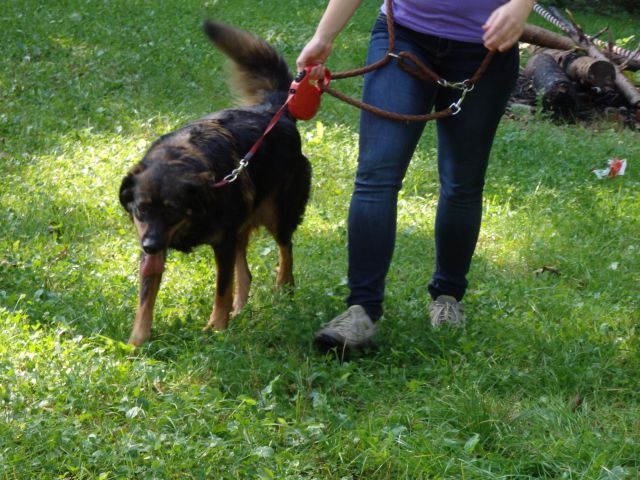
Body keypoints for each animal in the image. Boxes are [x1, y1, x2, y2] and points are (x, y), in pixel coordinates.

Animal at [119, 19, 312, 344]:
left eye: (173, 210)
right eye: (141, 209)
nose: (151, 245)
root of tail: (272, 110)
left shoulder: (222, 242)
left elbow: (222, 289)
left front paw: (217, 328)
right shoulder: (153, 243)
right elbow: (146, 298)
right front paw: (137, 342)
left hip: (278, 213)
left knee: (285, 249)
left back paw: (284, 288)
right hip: (242, 227)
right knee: (246, 273)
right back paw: (241, 311)